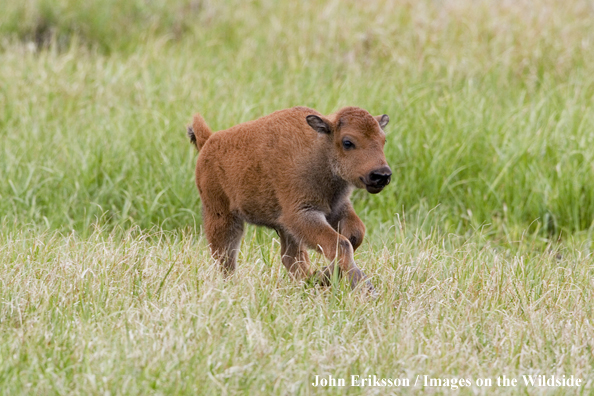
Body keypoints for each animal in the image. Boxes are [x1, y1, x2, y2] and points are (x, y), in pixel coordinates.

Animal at [187, 105, 390, 290]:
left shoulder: (336, 209)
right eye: (347, 142)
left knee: (289, 256)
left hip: (282, 228)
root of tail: (209, 140)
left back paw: (308, 281)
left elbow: (354, 235)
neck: (319, 150)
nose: (381, 175)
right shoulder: (301, 215)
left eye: (383, 140)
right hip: (222, 216)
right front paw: (363, 285)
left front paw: (323, 276)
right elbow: (341, 244)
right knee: (224, 256)